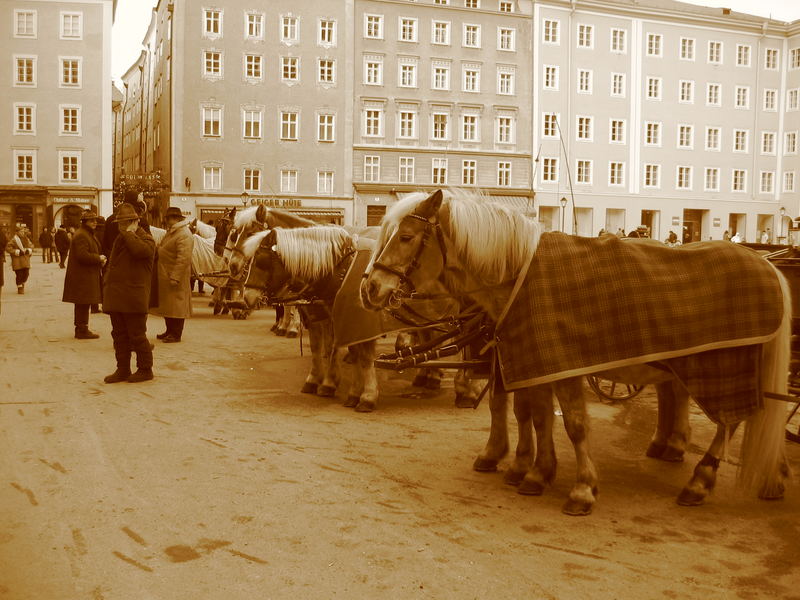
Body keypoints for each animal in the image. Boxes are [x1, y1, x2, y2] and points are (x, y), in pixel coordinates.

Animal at [360, 189, 788, 516]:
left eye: (406, 237)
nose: (370, 288)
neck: (519, 273)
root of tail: (766, 266)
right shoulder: (534, 362)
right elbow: (534, 416)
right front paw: (535, 471)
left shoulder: (557, 367)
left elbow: (572, 425)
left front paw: (580, 488)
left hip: (724, 365)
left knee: (730, 422)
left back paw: (700, 481)